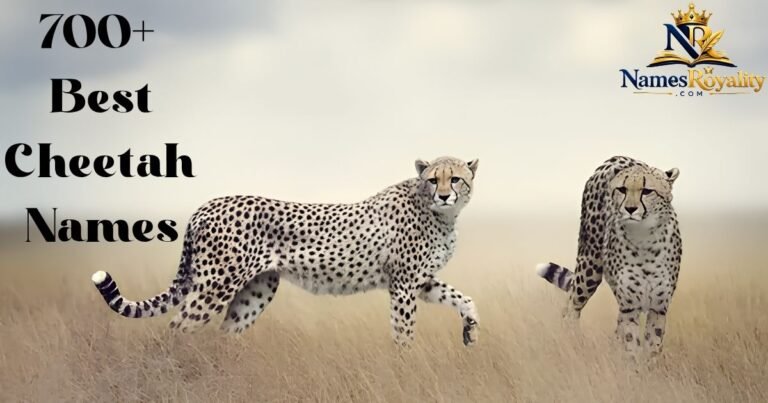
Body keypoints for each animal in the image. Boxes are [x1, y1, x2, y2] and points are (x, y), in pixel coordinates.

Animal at [92, 156, 480, 346]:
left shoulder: (421, 282)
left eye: (455, 178)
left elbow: (465, 298)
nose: (445, 194)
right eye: (433, 179)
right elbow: (404, 332)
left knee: (224, 334)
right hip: (215, 287)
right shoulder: (403, 285)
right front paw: (404, 362)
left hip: (258, 289)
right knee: (174, 330)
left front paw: (471, 331)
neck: (440, 214)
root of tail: (206, 204)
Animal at [536, 156, 682, 358]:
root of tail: (615, 158)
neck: (644, 239)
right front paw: (632, 364)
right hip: (589, 269)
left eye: (647, 191)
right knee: (571, 306)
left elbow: (652, 346)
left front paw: (648, 365)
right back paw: (571, 343)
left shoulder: (658, 307)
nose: (630, 209)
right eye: (622, 189)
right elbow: (631, 345)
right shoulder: (629, 306)